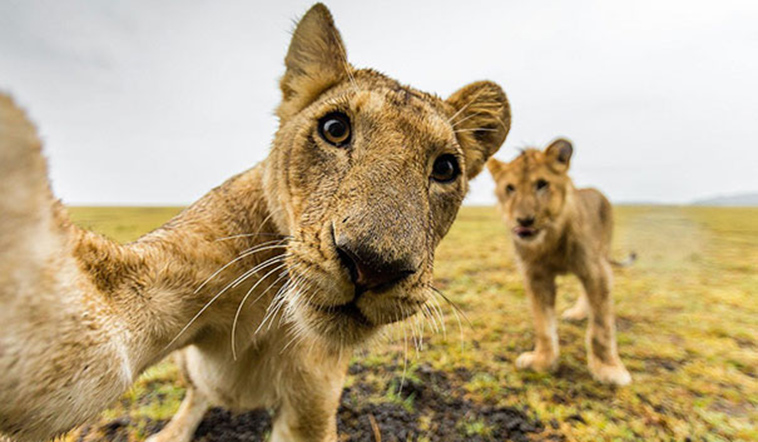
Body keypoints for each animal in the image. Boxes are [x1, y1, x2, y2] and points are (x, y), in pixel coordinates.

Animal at [0, 4, 511, 441]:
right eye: (335, 129)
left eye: (445, 168)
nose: (372, 266)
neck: (279, 310)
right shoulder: (154, 282)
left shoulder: (313, 403)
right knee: (198, 395)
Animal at [487, 138, 632, 386]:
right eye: (510, 188)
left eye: (541, 184)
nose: (524, 221)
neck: (549, 240)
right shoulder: (536, 277)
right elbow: (543, 324)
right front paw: (542, 361)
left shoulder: (596, 270)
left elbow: (601, 326)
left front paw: (608, 369)